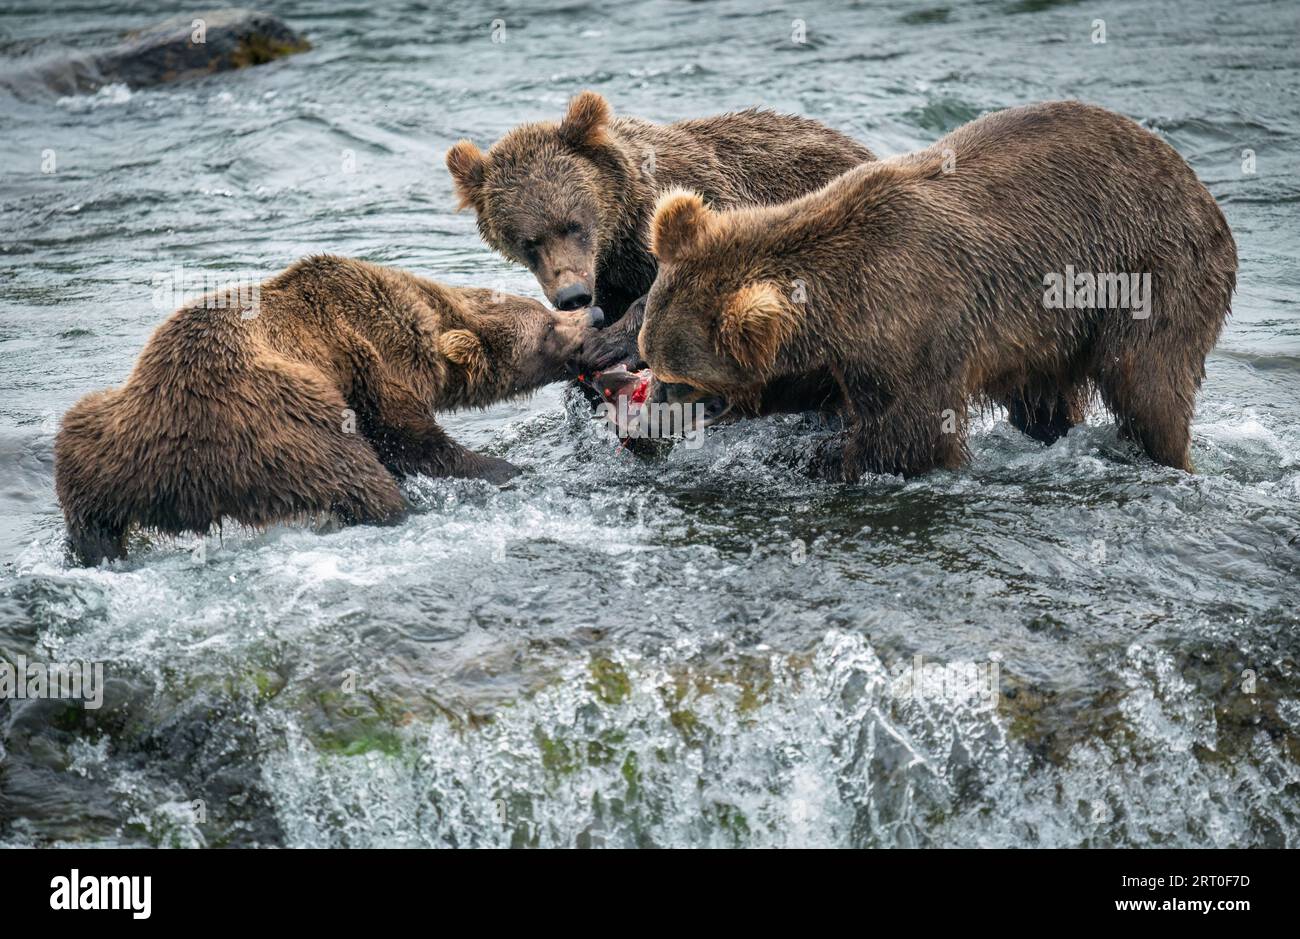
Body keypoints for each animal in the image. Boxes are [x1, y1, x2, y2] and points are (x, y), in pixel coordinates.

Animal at [54, 255, 599, 565]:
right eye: (548, 329)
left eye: (545, 312)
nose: (591, 313)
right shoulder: (371, 363)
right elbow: (408, 438)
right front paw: (501, 466)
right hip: (284, 417)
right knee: (355, 474)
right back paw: (398, 507)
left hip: (110, 433)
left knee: (86, 486)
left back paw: (93, 549)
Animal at [636, 101, 1237, 480]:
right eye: (650, 358)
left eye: (681, 379)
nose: (652, 406)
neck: (840, 312)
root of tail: (1194, 181)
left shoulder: (914, 332)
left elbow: (909, 437)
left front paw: (823, 460)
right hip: (1052, 328)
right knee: (1043, 398)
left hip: (1150, 273)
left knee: (1149, 384)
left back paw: (1164, 455)